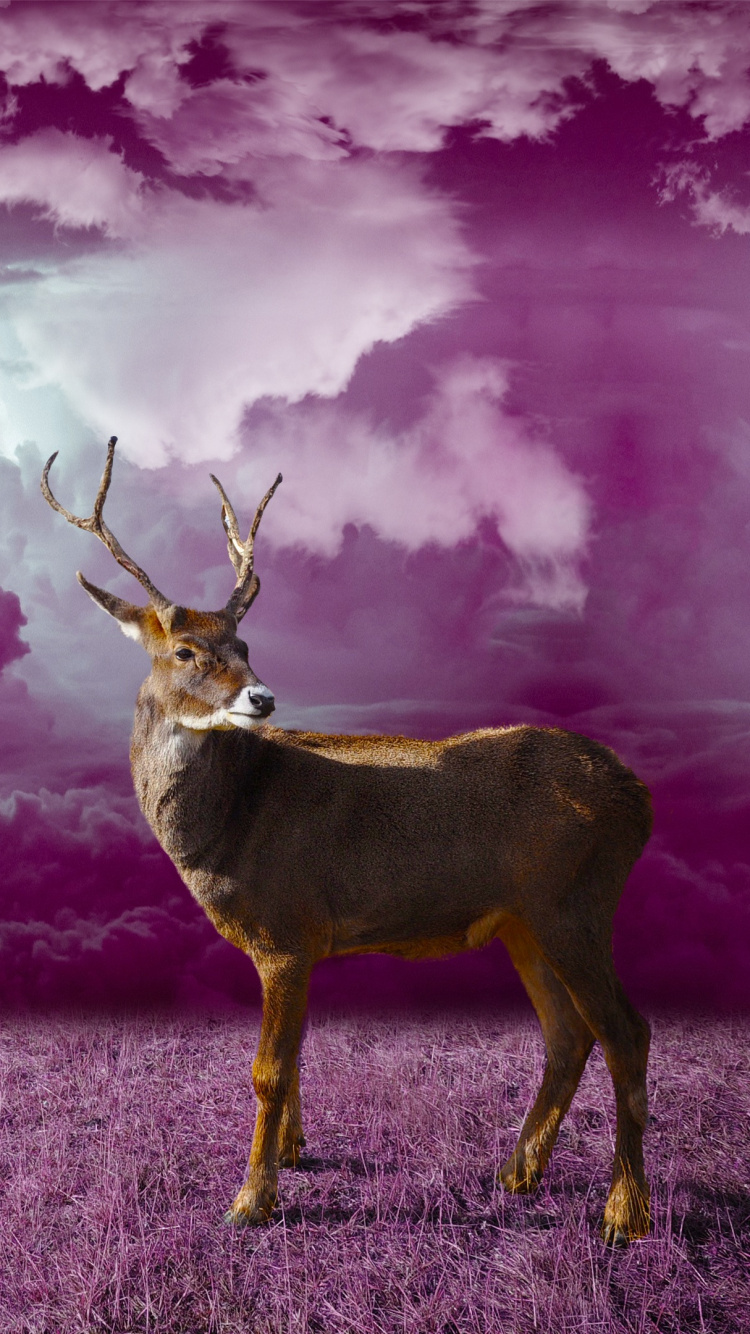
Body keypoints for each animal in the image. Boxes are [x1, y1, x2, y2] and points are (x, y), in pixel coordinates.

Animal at [42, 436, 653, 1246]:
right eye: (184, 652)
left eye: (243, 640)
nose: (262, 696)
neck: (228, 823)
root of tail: (640, 798)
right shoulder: (297, 941)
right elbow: (295, 1054)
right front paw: (293, 1154)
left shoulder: (285, 926)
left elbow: (267, 1069)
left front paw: (251, 1200)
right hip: (526, 920)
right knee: (568, 1035)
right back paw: (518, 1172)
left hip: (576, 901)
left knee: (626, 1032)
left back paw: (624, 1212)